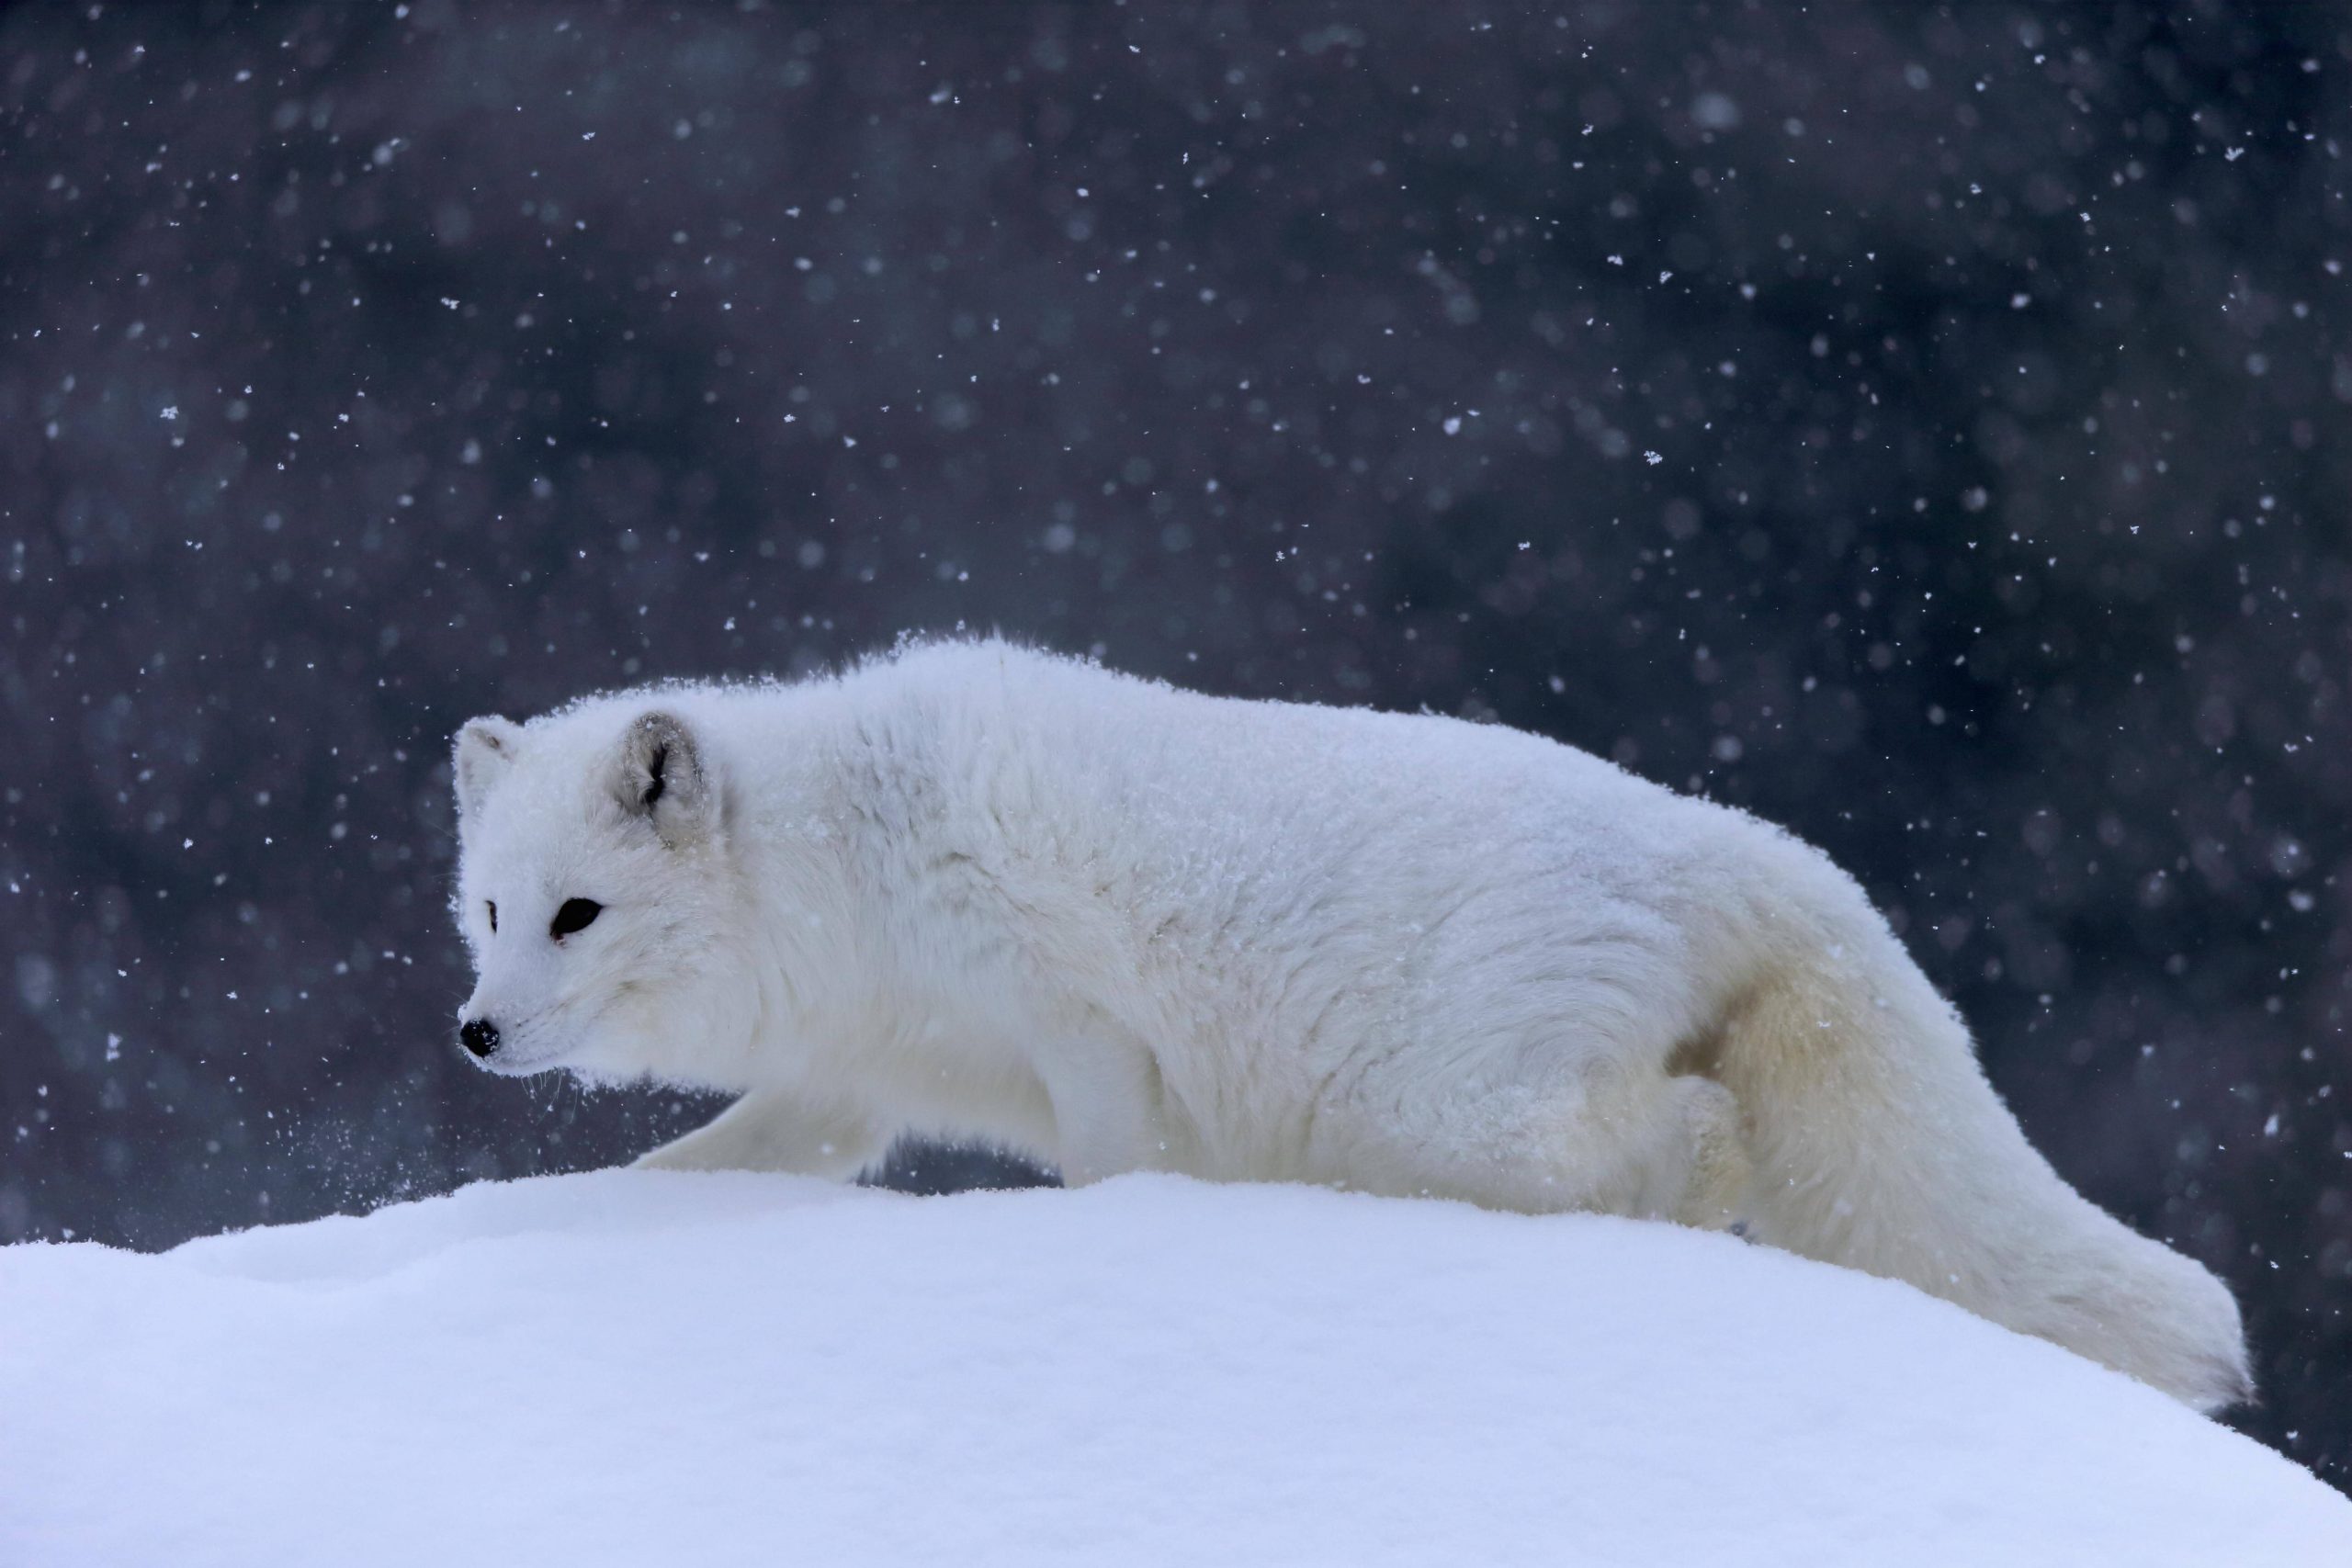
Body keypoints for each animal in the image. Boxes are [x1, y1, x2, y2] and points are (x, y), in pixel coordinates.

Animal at [448, 639, 2248, 1410]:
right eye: (486, 911)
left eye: (576, 914)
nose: (472, 1034)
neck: (843, 857)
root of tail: (1721, 836)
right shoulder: (850, 1087)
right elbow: (714, 1167)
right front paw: (525, 1217)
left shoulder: (1076, 1017)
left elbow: (1108, 1167)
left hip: (1441, 1120)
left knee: (1693, 1139)